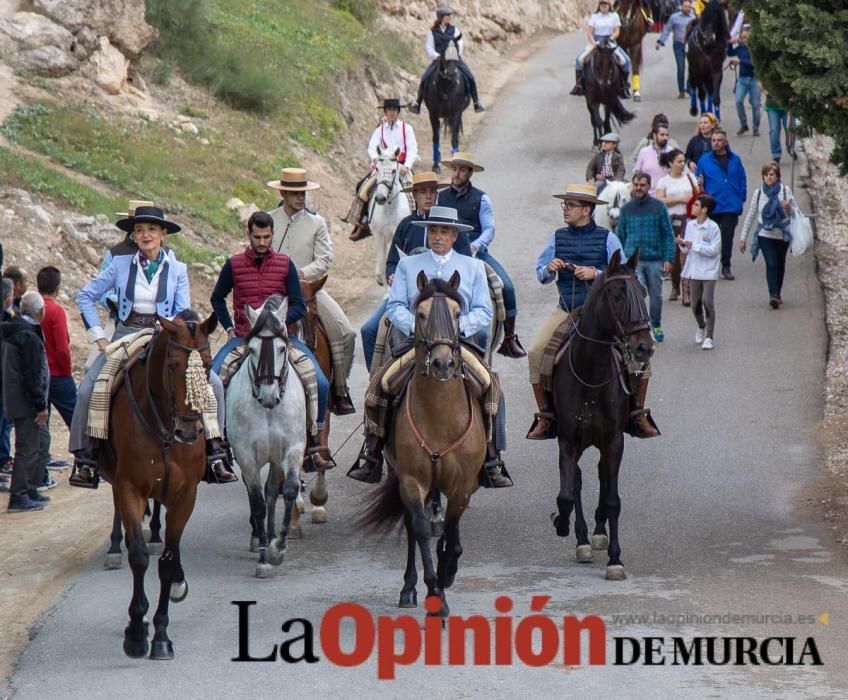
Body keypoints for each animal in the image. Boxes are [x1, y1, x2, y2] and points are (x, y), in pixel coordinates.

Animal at [100, 308, 219, 660]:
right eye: (172, 365)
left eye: (207, 364)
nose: (190, 430)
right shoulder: (129, 487)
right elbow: (139, 556)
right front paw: (137, 634)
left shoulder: (185, 495)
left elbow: (167, 561)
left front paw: (162, 636)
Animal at [225, 294, 304, 576]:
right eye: (252, 350)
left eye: (281, 348)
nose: (269, 396)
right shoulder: (247, 456)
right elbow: (257, 502)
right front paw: (263, 559)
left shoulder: (292, 448)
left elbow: (287, 490)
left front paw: (278, 548)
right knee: (257, 493)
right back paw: (259, 538)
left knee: (271, 491)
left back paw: (269, 537)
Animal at [362, 270, 486, 616]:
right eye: (420, 314)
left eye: (457, 314)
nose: (443, 364)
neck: (440, 416)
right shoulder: (411, 479)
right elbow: (418, 529)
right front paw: (435, 593)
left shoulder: (463, 484)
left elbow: (453, 537)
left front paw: (447, 572)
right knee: (411, 524)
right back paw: (409, 588)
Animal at [372, 145, 410, 288]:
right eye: (377, 168)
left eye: (394, 171)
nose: (380, 198)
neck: (389, 210)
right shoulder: (378, 234)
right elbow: (382, 262)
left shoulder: (395, 234)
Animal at [548, 250, 656, 580]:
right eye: (618, 295)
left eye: (643, 292)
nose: (644, 348)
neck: (590, 372)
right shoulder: (567, 441)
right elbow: (567, 494)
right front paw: (562, 523)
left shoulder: (613, 441)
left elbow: (612, 499)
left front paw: (615, 559)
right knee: (580, 481)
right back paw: (583, 537)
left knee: (601, 477)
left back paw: (597, 532)